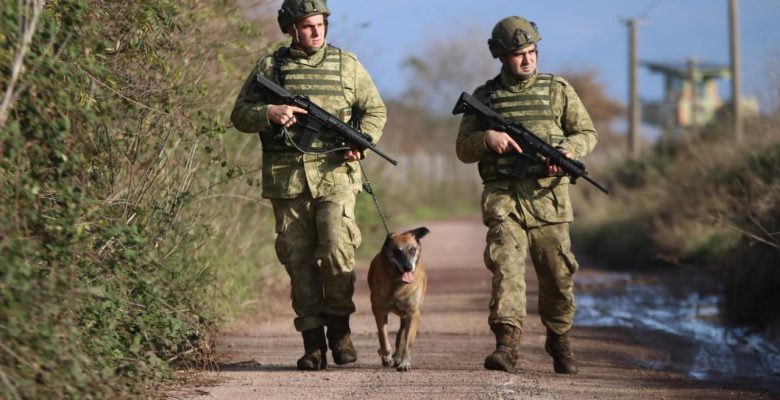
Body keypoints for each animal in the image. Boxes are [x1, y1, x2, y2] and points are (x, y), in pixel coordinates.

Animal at [368, 227, 430, 374]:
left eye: (412, 250)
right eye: (397, 251)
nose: (408, 267)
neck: (398, 283)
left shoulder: (413, 313)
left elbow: (408, 342)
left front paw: (405, 363)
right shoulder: (379, 311)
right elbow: (383, 337)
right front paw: (386, 356)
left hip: (405, 316)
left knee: (401, 334)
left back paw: (397, 357)